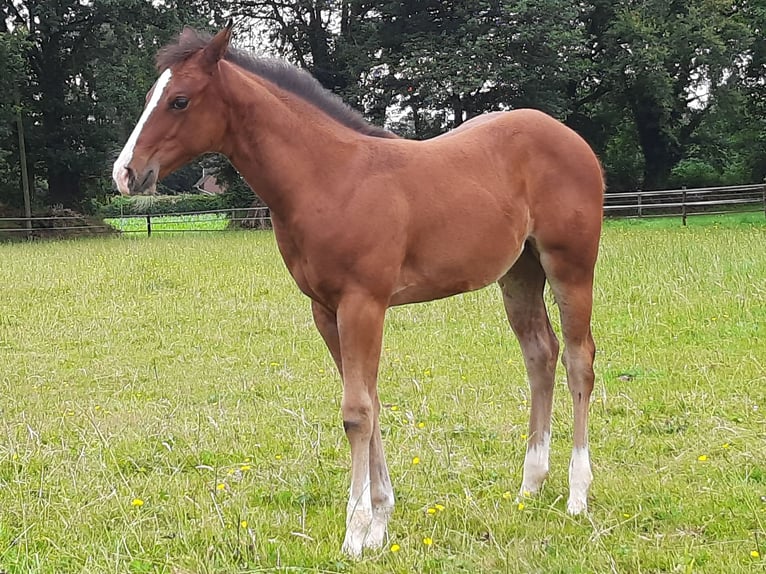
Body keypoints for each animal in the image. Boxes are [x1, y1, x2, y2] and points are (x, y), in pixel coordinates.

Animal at [112, 23, 604, 557]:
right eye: (150, 97)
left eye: (179, 101)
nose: (125, 173)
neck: (330, 178)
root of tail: (572, 138)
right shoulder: (325, 310)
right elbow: (368, 401)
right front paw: (380, 523)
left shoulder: (363, 304)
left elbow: (357, 411)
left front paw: (355, 531)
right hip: (518, 272)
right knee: (540, 354)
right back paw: (530, 485)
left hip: (570, 266)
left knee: (579, 359)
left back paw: (577, 494)